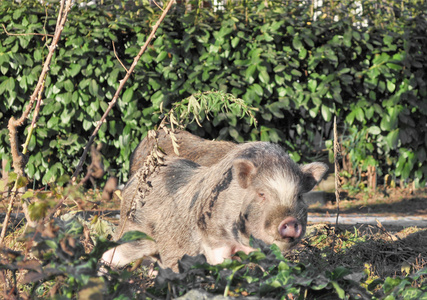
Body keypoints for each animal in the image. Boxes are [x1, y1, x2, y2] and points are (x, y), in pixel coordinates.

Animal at [102, 141, 330, 272]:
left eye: (299, 196)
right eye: (261, 194)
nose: (290, 221)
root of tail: (134, 181)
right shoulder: (213, 240)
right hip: (132, 233)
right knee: (109, 253)